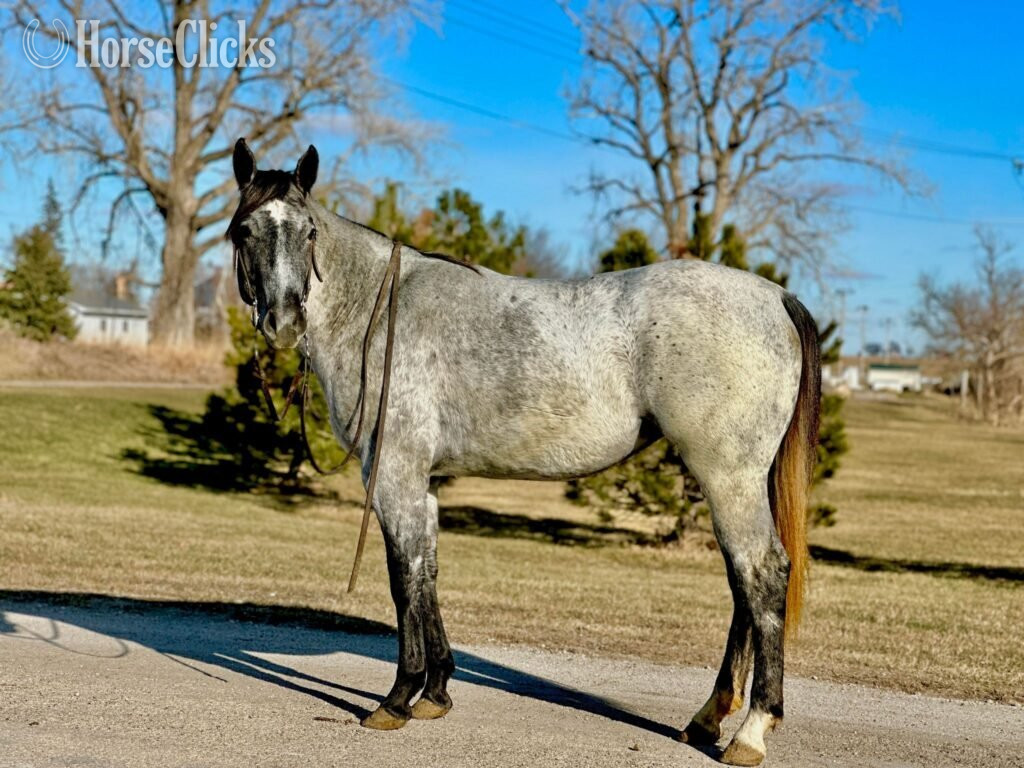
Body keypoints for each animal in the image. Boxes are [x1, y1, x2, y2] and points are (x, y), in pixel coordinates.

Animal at [226, 139, 820, 767]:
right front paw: (435, 693)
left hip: (728, 477)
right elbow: (428, 573)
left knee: (762, 576)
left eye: (309, 232)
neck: (376, 310)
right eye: (244, 231)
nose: (283, 321)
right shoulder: (421, 486)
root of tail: (776, 296)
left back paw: (750, 730)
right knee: (742, 587)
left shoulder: (394, 480)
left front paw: (397, 699)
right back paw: (708, 718)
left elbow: (402, 579)